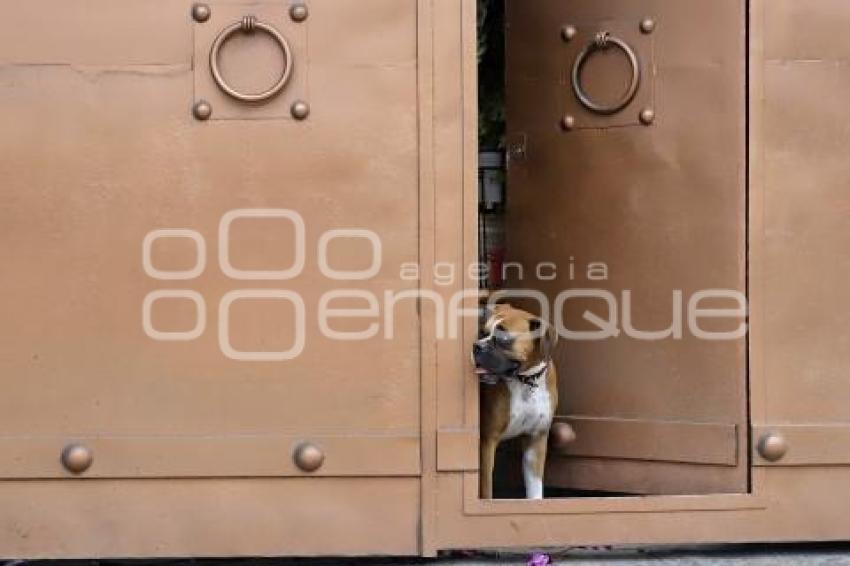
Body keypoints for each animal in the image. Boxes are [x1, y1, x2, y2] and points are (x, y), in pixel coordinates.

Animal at [470, 306, 556, 502]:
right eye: (483, 332)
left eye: (503, 337)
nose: (476, 345)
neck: (526, 380)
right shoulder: (487, 442)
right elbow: (486, 489)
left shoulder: (536, 441)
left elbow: (535, 489)